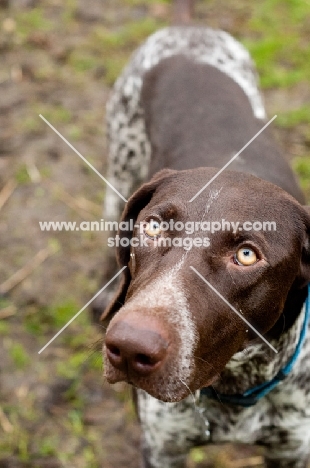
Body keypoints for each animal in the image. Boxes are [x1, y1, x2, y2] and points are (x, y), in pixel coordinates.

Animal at [98, 1, 310, 466]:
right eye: (154, 226)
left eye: (247, 255)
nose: (129, 347)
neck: (236, 387)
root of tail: (186, 30)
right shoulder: (162, 448)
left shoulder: (292, 451)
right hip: (119, 169)